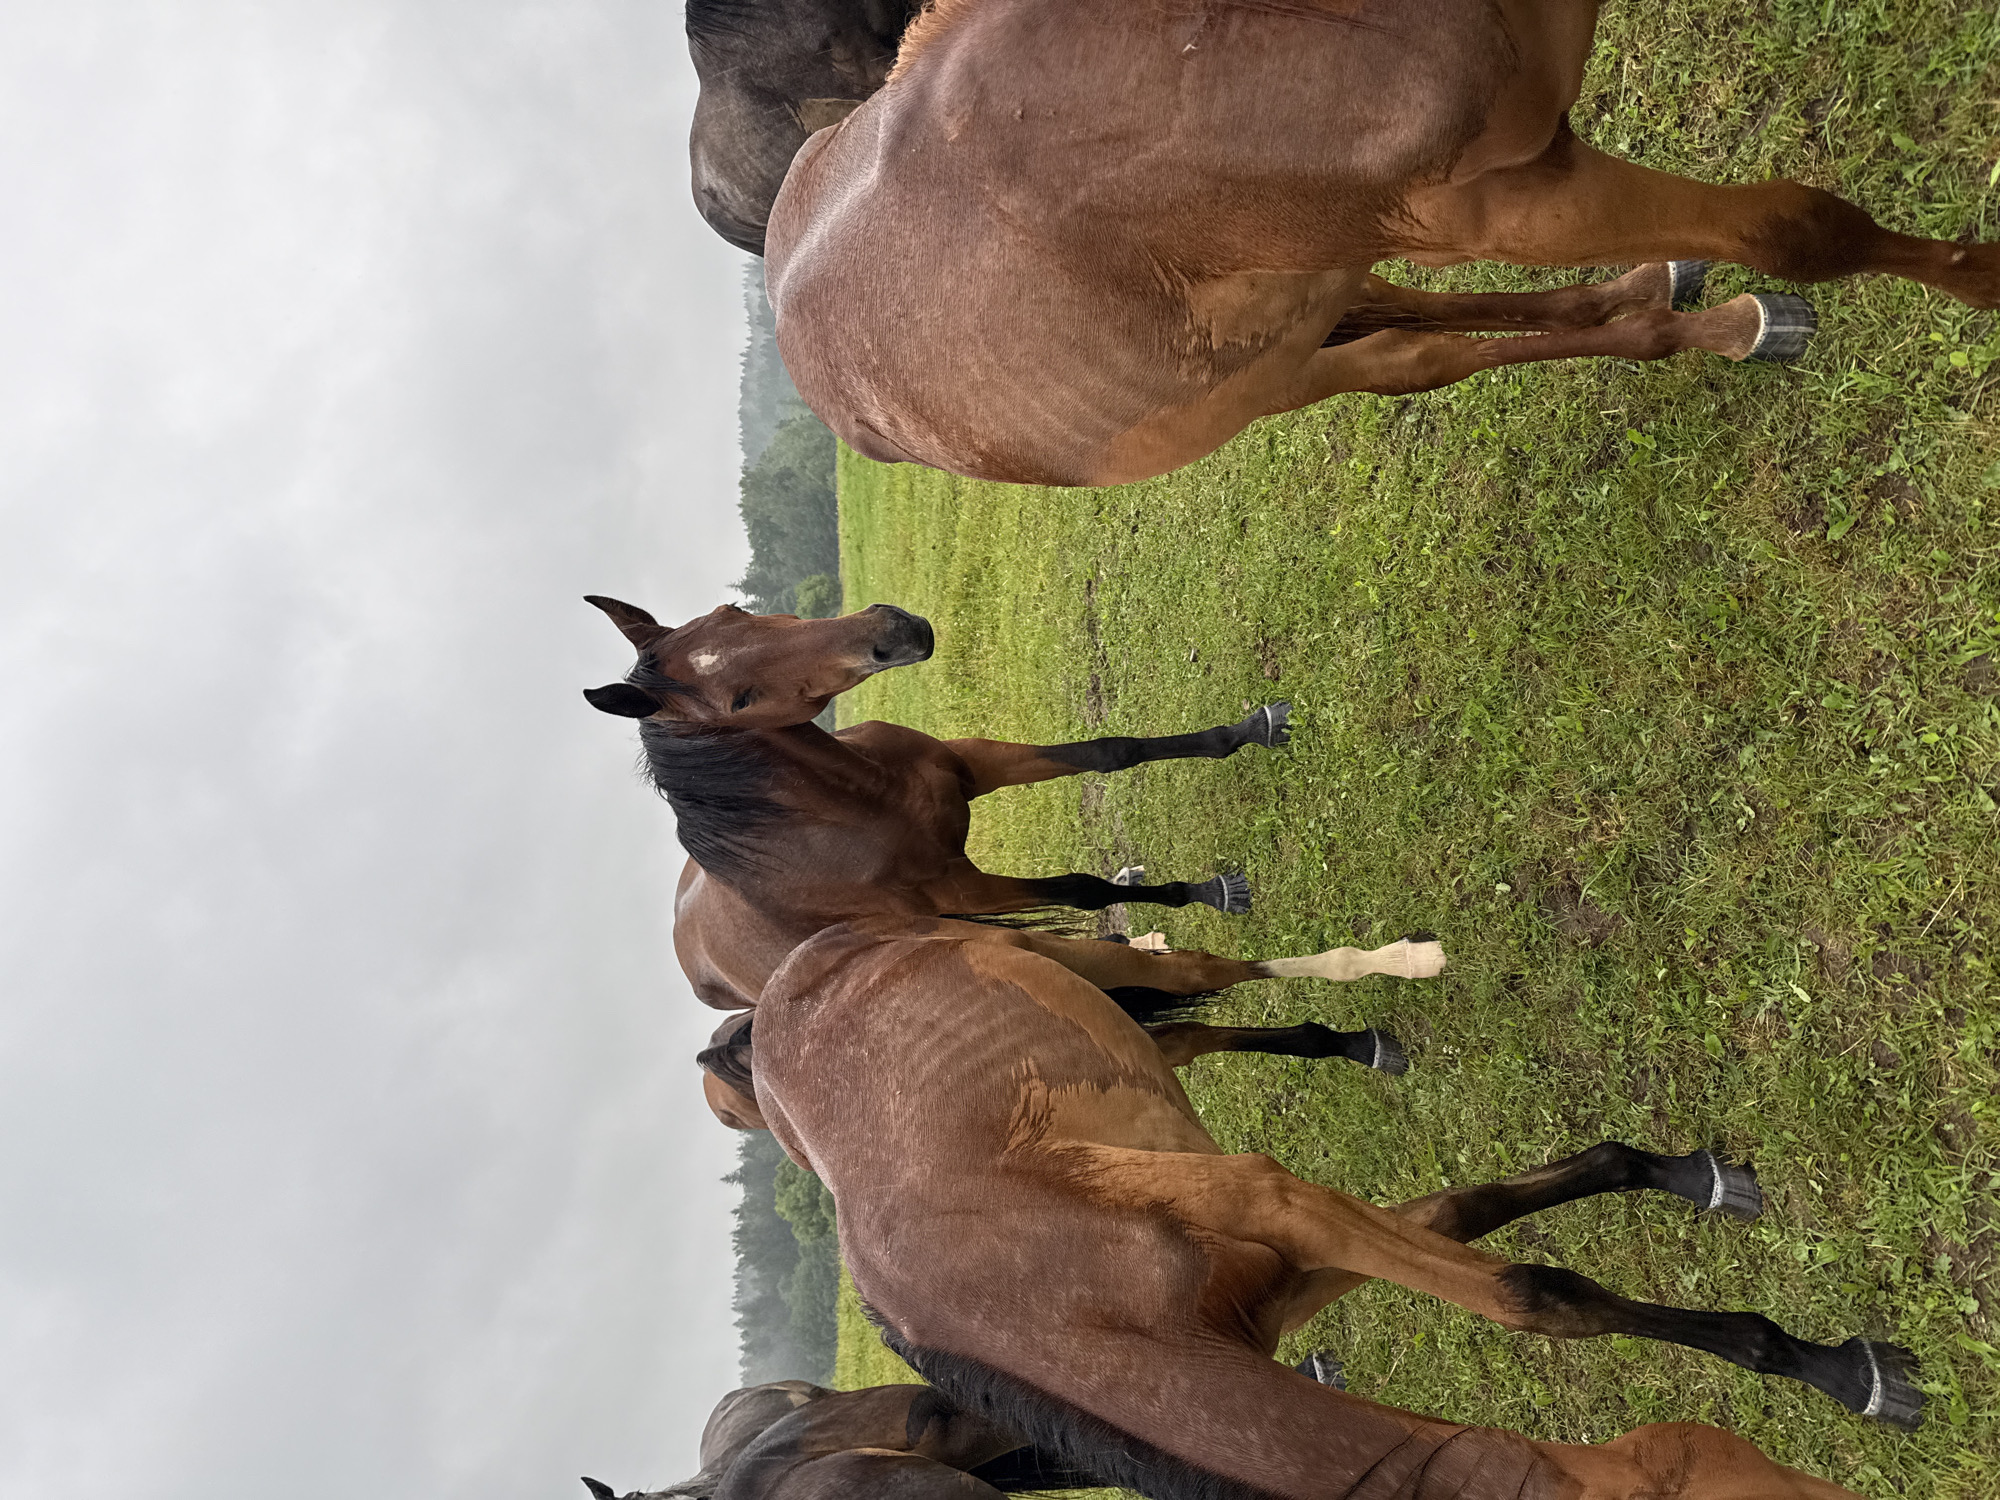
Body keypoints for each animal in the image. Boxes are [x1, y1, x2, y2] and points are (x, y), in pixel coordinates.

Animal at [581, 595, 1333, 1012]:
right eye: (740, 701)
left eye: (731, 612)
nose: (892, 631)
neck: (864, 800)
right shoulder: (963, 888)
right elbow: (1082, 888)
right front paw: (1207, 892)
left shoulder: (972, 765)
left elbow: (1110, 752)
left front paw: (1247, 732)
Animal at [743, 912, 1921, 1500]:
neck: (1056, 1293)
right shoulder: (1294, 1267)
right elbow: (1505, 1256)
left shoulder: (1287, 1212)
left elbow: (1505, 1263)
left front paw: (1823, 1357)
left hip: (1063, 955)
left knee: (1217, 966)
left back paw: (1397, 969)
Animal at [766, 0, 2000, 485]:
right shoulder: (1501, 203)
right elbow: (1804, 228)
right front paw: (1981, 280)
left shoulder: (1521, 170)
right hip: (1276, 377)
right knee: (1421, 357)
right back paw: (1720, 318)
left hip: (1313, 303)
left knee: (1445, 322)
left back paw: (1679, 299)